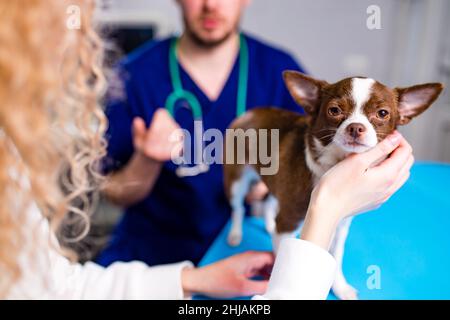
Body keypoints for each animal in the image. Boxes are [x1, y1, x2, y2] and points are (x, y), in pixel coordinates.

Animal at [222, 70, 442, 300]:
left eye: (382, 113)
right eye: (334, 110)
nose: (356, 127)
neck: (335, 163)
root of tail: (249, 113)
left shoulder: (340, 224)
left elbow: (335, 256)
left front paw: (340, 287)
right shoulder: (290, 221)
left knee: (269, 202)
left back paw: (269, 224)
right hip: (236, 180)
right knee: (238, 208)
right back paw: (235, 234)